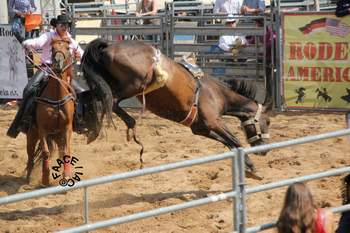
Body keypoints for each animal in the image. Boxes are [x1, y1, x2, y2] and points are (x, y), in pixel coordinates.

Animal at [26, 38, 76, 187]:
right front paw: (45, 178)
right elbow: (45, 152)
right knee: (30, 155)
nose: (58, 63)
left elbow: (66, 151)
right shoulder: (42, 129)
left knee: (60, 151)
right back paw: (28, 178)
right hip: (32, 134)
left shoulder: (67, 128)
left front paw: (66, 176)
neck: (57, 97)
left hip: (58, 136)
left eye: (67, 47)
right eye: (52, 48)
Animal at [81, 39, 270, 179]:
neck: (217, 94)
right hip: (133, 85)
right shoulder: (214, 122)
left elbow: (229, 143)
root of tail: (108, 46)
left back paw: (94, 130)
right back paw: (127, 124)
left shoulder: (200, 128)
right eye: (267, 121)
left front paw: (248, 167)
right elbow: (235, 141)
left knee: (92, 97)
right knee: (110, 101)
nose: (265, 150)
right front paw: (253, 169)